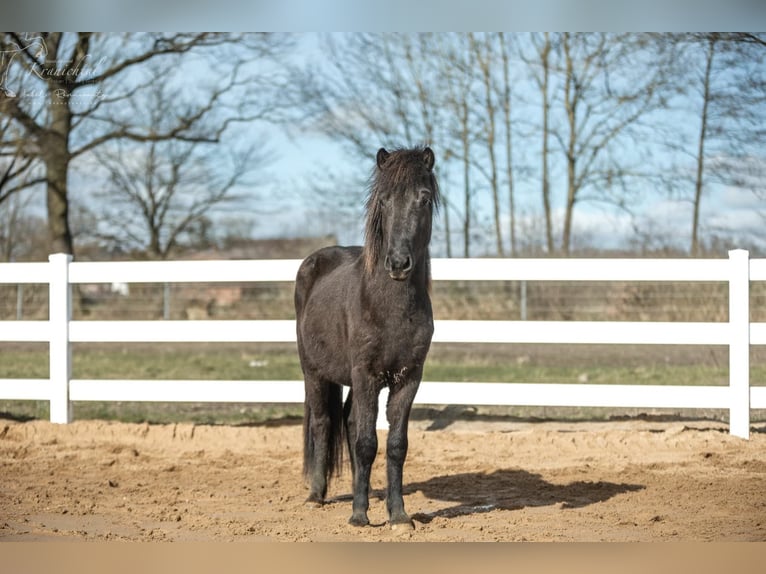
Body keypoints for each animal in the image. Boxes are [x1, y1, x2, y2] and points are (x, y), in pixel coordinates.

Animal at [295, 146, 439, 530]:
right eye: (384, 201)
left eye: (424, 198)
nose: (399, 263)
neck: (390, 308)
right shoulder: (366, 375)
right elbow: (365, 442)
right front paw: (359, 516)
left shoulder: (408, 378)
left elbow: (396, 445)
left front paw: (398, 515)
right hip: (315, 373)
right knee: (323, 423)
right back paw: (316, 495)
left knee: (346, 421)